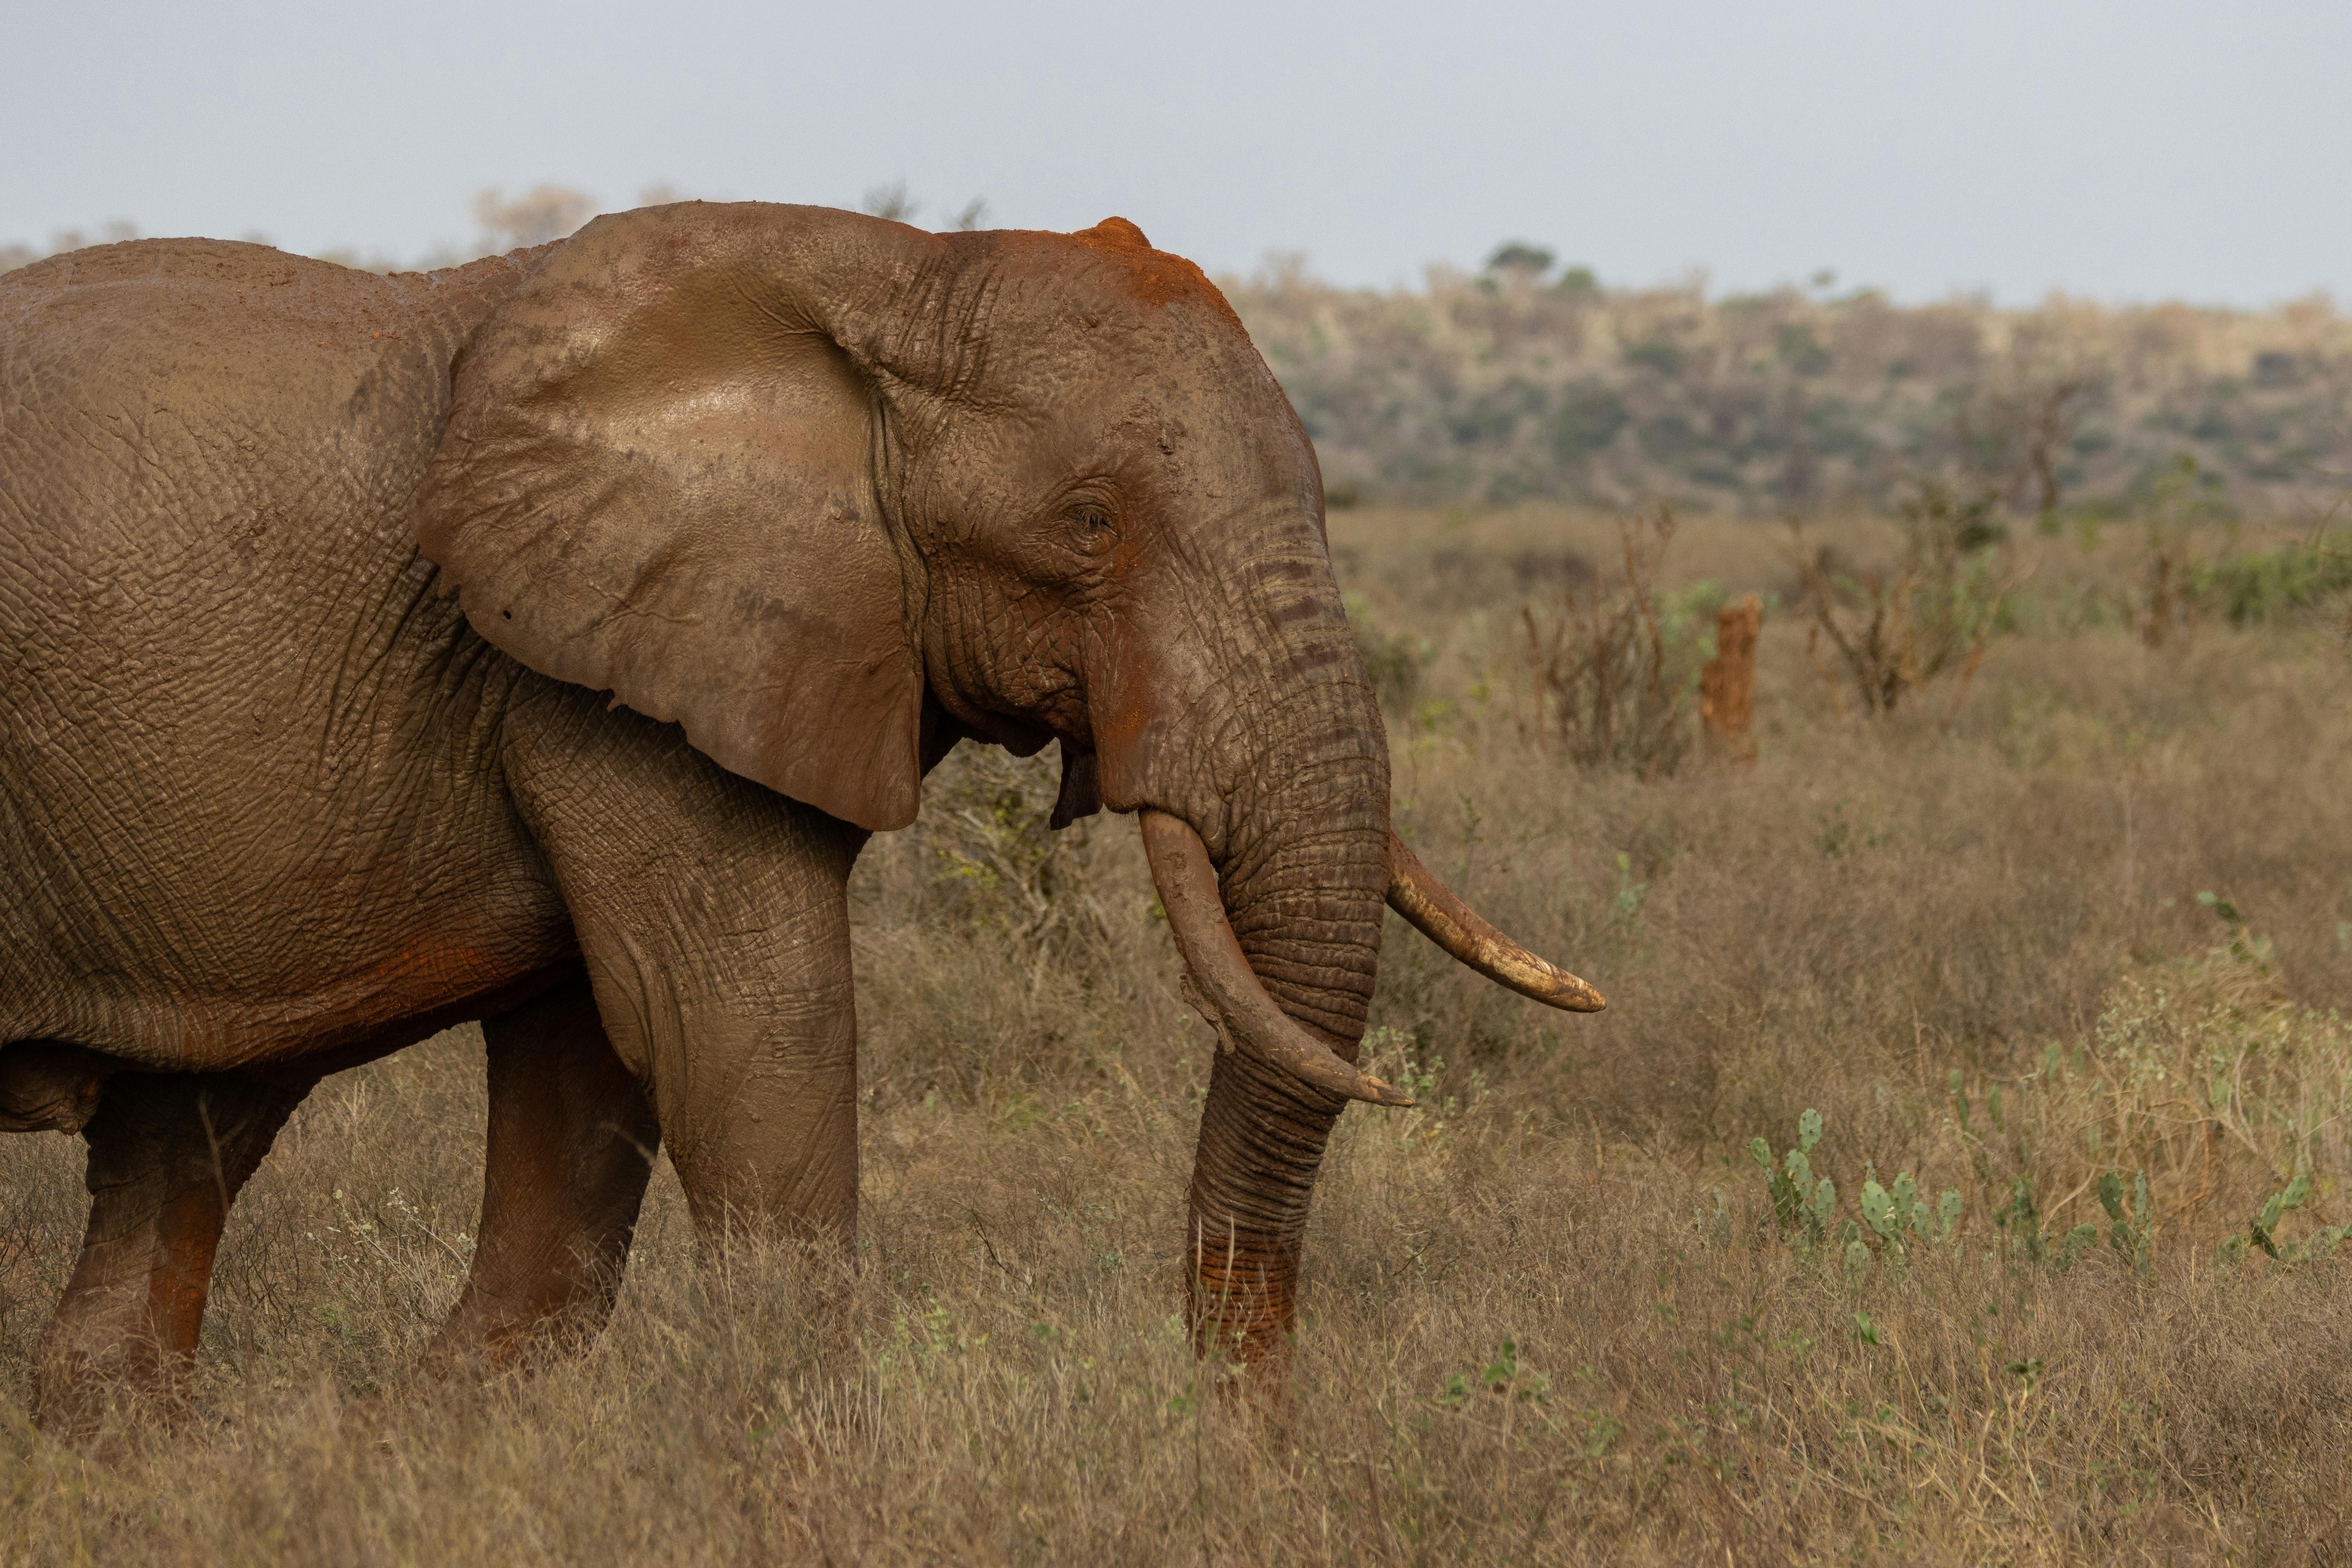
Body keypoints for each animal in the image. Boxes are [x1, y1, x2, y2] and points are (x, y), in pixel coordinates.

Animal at [0, 202, 1599, 1429]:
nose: (1238, 1430)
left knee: (179, 1141)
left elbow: (589, 1078)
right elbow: (739, 1023)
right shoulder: (603, 656)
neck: (896, 279)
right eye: (1089, 524)